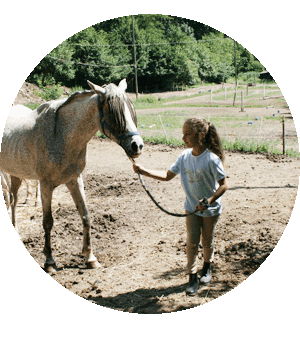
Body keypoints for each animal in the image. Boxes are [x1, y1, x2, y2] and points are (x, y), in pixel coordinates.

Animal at [0, 79, 144, 272]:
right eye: (114, 113)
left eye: (130, 109)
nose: (137, 146)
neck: (60, 134)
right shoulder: (46, 185)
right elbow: (48, 222)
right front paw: (50, 261)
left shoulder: (74, 180)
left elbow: (85, 215)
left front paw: (90, 257)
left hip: (16, 174)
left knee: (14, 200)